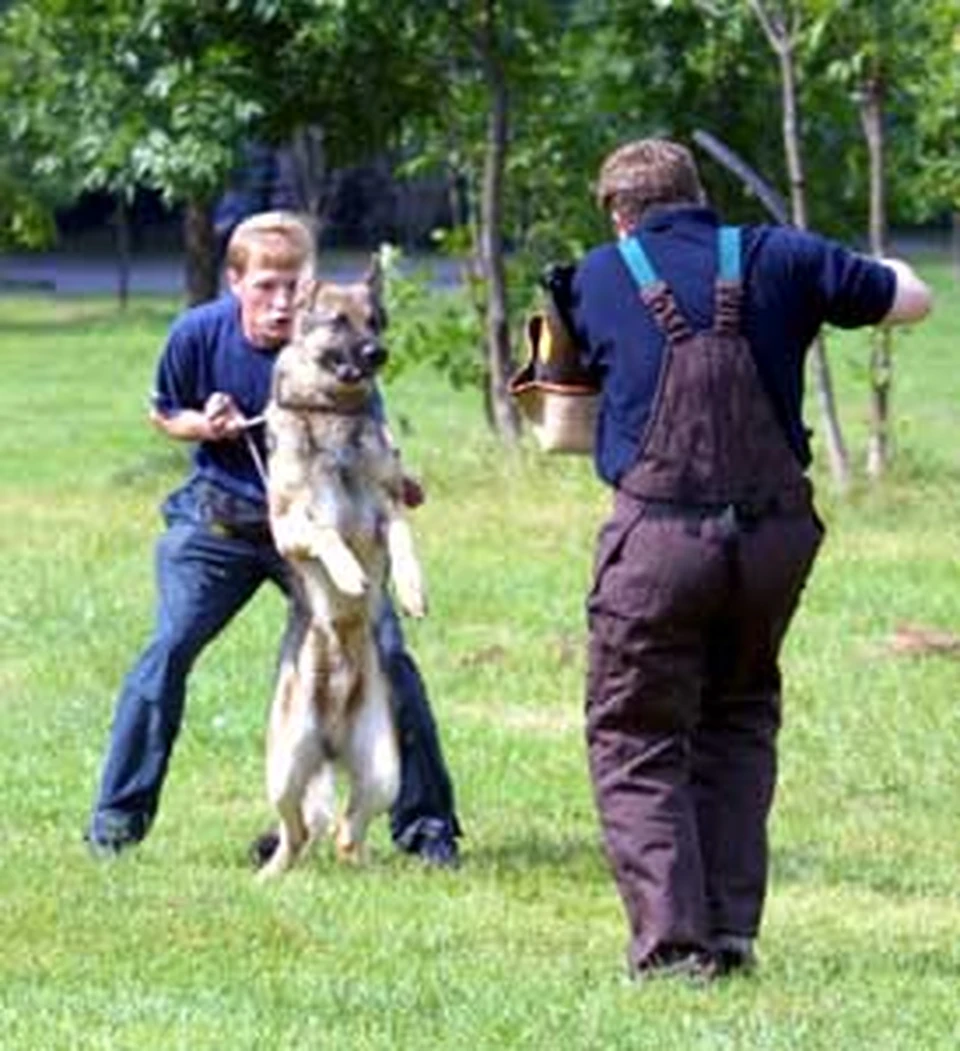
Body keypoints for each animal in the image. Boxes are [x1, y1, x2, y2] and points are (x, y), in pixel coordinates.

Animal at [256, 260, 424, 878]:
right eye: (339, 322)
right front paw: (349, 573)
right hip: (283, 770)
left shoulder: (389, 508)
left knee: (345, 832)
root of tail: (330, 739)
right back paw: (270, 875)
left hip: (384, 772)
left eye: (375, 320)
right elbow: (327, 532)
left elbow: (404, 539)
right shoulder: (289, 525)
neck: (333, 413)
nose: (378, 352)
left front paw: (412, 590)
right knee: (297, 832)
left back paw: (366, 865)